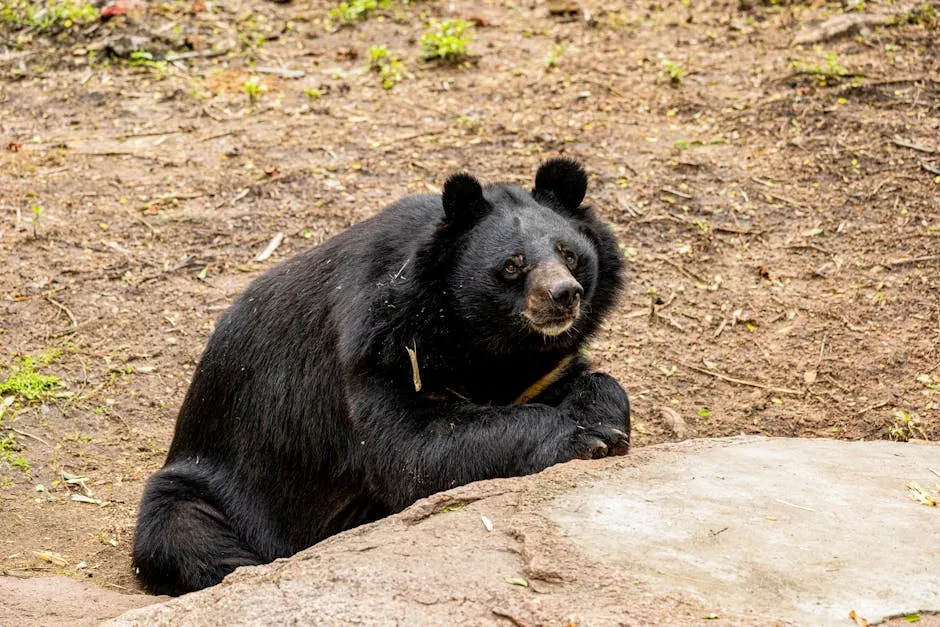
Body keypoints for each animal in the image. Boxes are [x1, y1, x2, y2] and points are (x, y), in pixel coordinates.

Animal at [132, 158, 630, 596]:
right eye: (512, 265)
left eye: (570, 254)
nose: (564, 295)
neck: (486, 341)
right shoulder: (379, 347)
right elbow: (413, 450)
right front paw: (585, 439)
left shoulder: (541, 368)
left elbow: (593, 382)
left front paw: (605, 423)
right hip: (209, 483)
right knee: (185, 531)